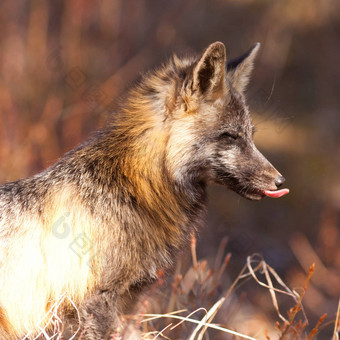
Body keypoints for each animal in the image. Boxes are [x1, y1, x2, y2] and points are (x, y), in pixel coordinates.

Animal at [0, 41, 290, 338]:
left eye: (251, 136)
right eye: (230, 136)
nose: (280, 181)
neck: (135, 188)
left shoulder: (126, 302)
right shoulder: (96, 300)